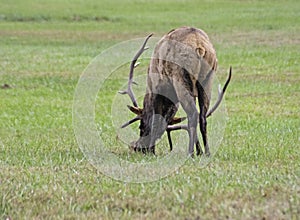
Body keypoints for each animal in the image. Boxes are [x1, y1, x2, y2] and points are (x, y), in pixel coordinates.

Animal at [119, 26, 232, 156]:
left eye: (141, 126)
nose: (138, 147)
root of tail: (200, 47)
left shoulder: (156, 88)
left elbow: (155, 120)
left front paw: (153, 151)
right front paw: (199, 151)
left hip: (181, 78)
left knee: (193, 114)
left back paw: (190, 153)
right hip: (207, 79)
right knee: (202, 117)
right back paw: (207, 153)